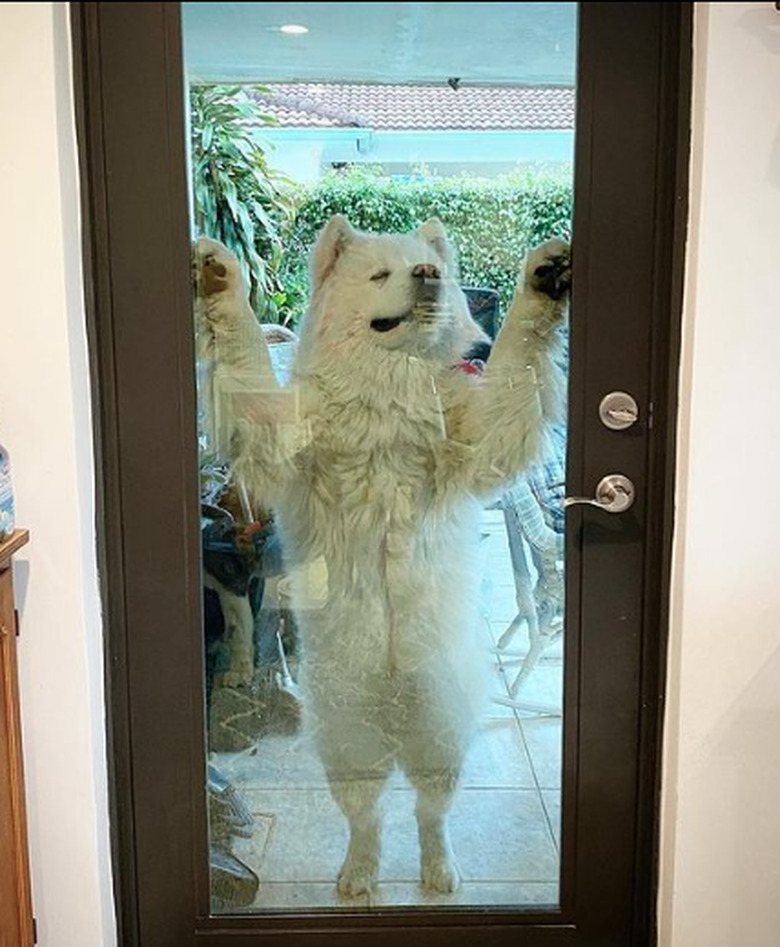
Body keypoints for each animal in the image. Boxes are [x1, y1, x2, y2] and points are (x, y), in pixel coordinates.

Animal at [198, 218, 568, 900]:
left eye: (430, 268)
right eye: (379, 275)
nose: (425, 277)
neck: (388, 386)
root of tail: (394, 710)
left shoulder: (479, 436)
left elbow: (514, 361)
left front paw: (544, 278)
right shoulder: (284, 434)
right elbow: (247, 360)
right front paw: (216, 274)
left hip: (440, 720)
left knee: (430, 810)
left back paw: (439, 871)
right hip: (347, 731)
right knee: (366, 813)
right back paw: (359, 874)